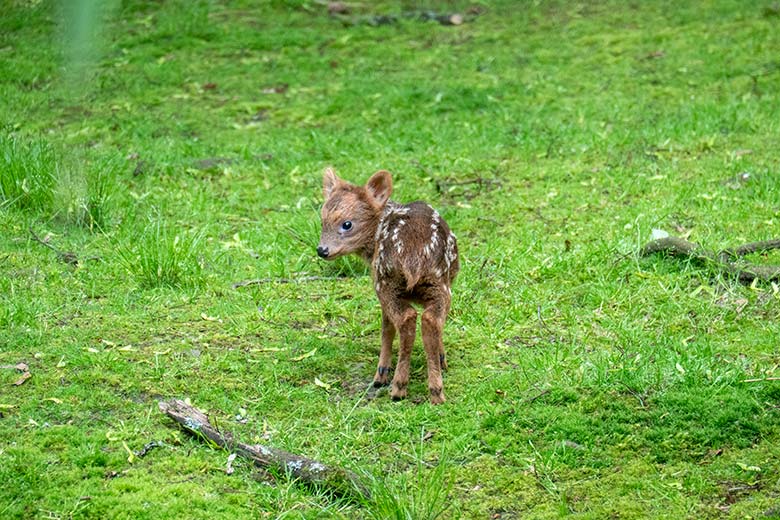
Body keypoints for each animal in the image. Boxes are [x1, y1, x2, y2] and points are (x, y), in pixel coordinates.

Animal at [316, 169, 460, 404]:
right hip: (438, 282)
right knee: (430, 320)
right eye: (322, 221)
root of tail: (414, 258)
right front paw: (442, 358)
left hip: (386, 281)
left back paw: (396, 385)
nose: (322, 250)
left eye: (347, 224)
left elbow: (386, 328)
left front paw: (382, 371)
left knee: (406, 320)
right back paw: (436, 390)